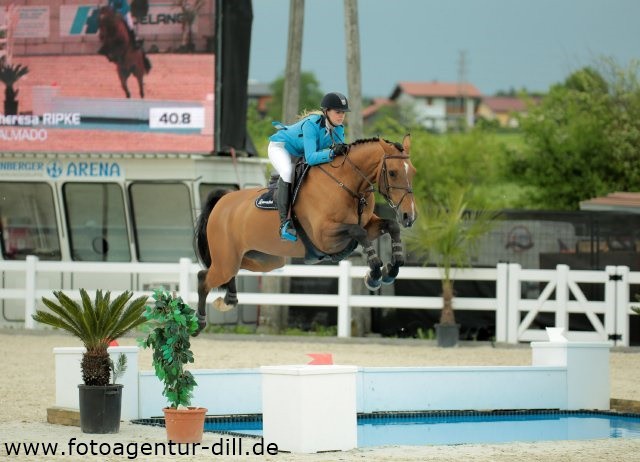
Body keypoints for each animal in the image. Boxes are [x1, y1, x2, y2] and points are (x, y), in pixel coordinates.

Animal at [192, 134, 418, 332]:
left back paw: (229, 300)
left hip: (264, 260)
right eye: (393, 172)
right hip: (228, 259)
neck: (347, 184)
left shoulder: (369, 225)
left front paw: (391, 269)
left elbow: (390, 226)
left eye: (413, 172)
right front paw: (375, 274)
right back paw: (199, 323)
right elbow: (358, 232)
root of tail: (222, 201)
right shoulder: (325, 237)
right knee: (204, 278)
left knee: (229, 270)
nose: (409, 216)